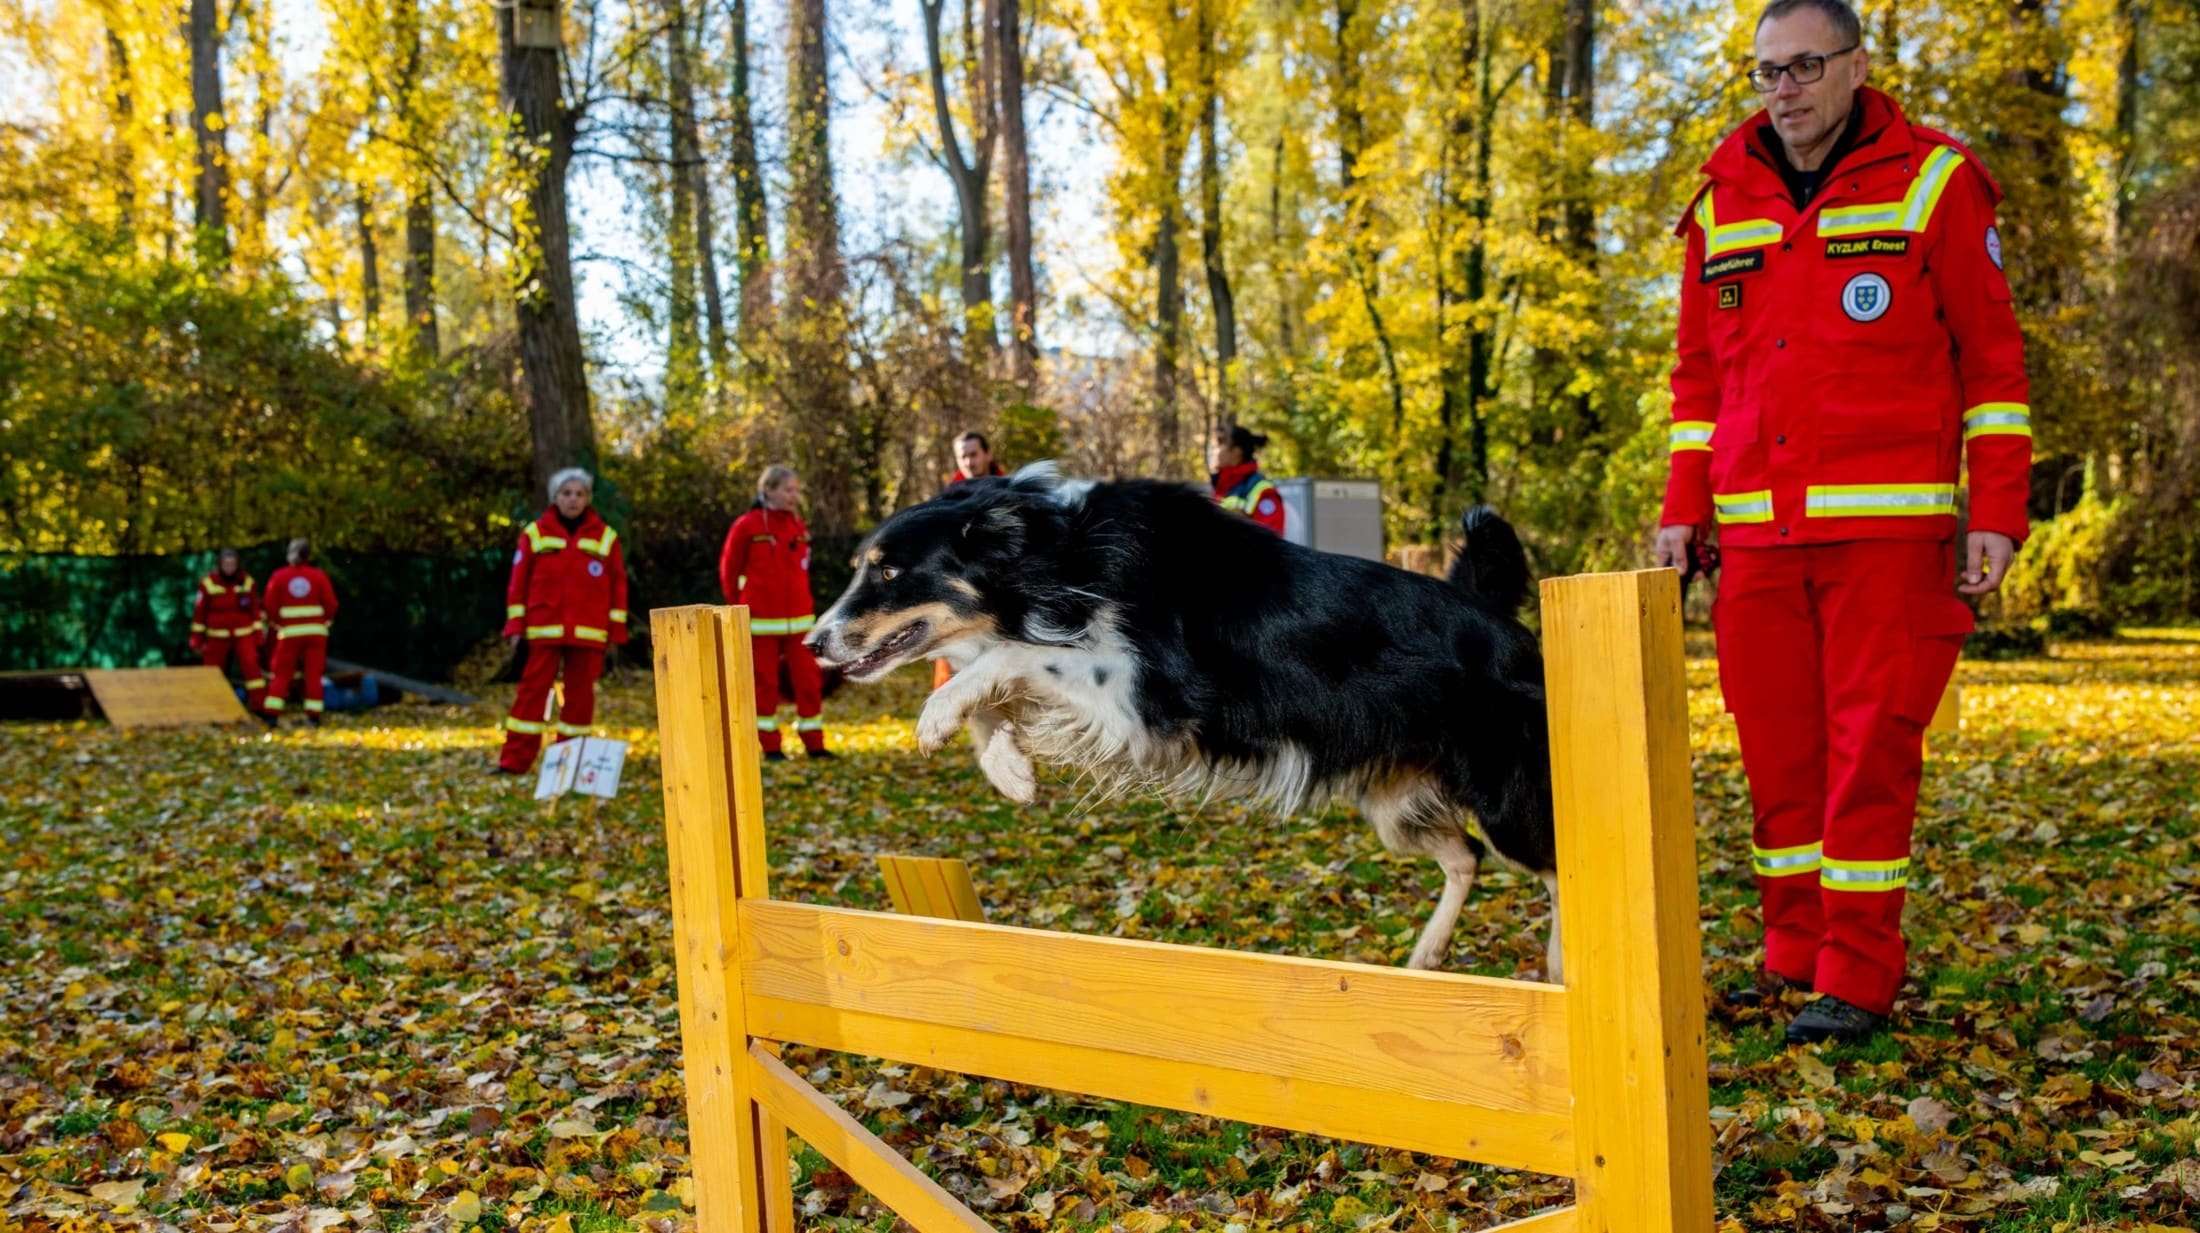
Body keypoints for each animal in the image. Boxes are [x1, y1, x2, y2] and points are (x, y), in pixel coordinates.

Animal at [814, 466, 1566, 977]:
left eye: (888, 573)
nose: (815, 643)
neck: (1061, 554)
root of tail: (1495, 617)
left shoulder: (1147, 693)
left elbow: (1012, 656)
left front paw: (941, 716)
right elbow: (996, 686)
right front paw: (1007, 767)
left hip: (1505, 797)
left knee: (1556, 867)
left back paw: (1560, 965)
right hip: (1393, 802)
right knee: (1466, 857)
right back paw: (1429, 953)